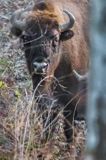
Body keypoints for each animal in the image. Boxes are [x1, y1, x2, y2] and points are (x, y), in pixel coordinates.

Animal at [10, 0, 88, 142]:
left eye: (55, 38)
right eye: (25, 38)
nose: (40, 66)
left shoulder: (71, 99)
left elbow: (68, 127)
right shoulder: (42, 98)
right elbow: (48, 124)